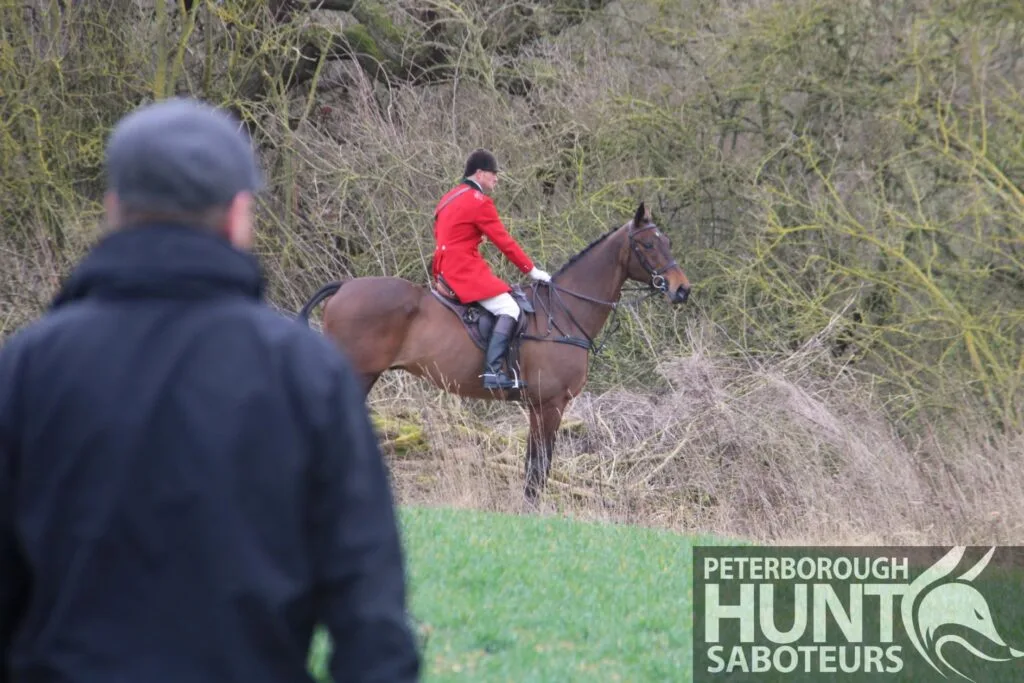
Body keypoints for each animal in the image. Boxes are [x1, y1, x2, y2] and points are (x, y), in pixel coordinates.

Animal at [299, 200, 696, 505]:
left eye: (667, 241)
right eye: (648, 245)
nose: (682, 290)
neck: (563, 311)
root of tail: (344, 287)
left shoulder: (540, 406)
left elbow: (534, 466)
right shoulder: (549, 404)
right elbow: (539, 468)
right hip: (358, 375)